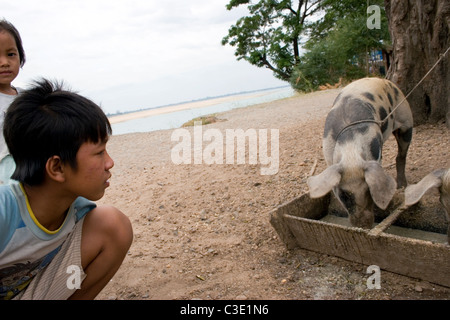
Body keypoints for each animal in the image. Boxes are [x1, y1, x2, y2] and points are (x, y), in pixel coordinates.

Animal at [308, 77, 414, 228]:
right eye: (343, 195)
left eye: (369, 190)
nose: (363, 226)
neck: (350, 150)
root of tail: (383, 80)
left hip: (406, 120)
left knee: (401, 155)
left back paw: (402, 186)